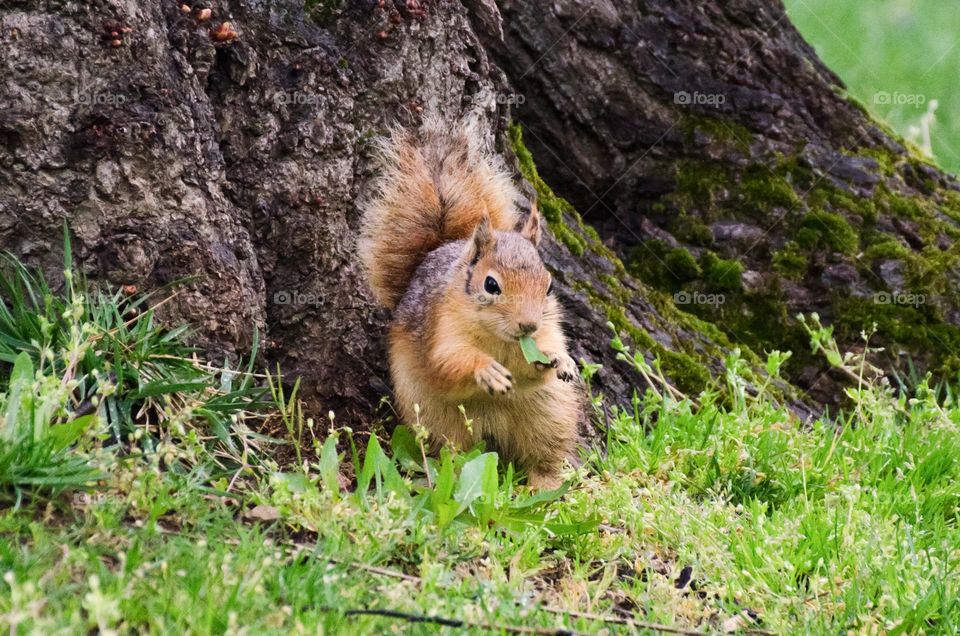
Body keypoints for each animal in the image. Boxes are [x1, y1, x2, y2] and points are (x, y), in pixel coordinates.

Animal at [358, 117, 580, 490]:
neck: (502, 341)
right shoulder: (441, 328)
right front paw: (486, 370)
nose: (529, 325)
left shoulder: (548, 329)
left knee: (545, 457)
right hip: (439, 418)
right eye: (491, 285)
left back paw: (545, 486)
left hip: (550, 414)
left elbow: (546, 352)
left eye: (549, 285)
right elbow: (447, 362)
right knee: (453, 453)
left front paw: (561, 360)